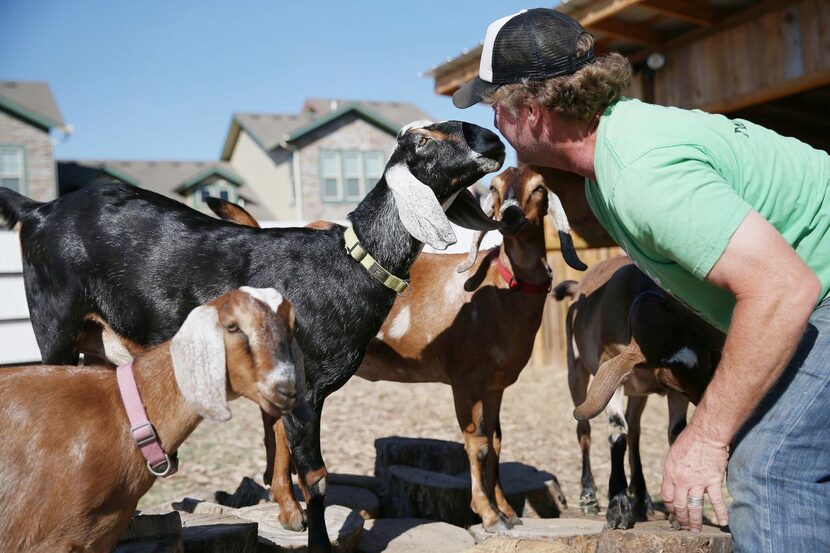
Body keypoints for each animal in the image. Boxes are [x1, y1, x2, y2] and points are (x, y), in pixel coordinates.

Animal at [208, 166, 584, 532]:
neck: (500, 291)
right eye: (495, 187)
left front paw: (507, 511)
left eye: (539, 187)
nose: (511, 215)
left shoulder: (495, 386)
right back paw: (291, 510)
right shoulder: (465, 381)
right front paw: (489, 516)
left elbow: (496, 443)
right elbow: (476, 444)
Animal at [556, 256, 724, 528]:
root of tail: (577, 286)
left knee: (635, 431)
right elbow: (617, 432)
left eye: (709, 367)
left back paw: (643, 499)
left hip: (639, 393)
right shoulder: (613, 373)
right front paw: (617, 508)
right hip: (577, 369)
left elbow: (675, 432)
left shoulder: (672, 392)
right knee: (585, 430)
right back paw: (589, 497)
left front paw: (677, 514)